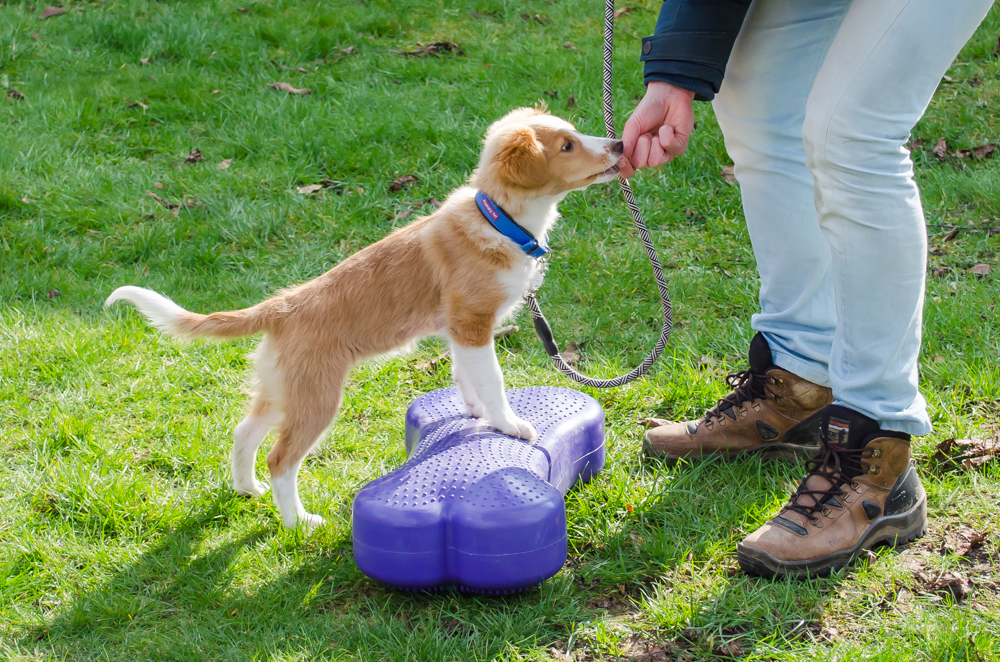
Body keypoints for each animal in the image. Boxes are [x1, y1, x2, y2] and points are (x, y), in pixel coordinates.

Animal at [109, 110, 624, 536]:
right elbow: (492, 378)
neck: (500, 220)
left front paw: (477, 414)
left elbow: (465, 377)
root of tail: (281, 306)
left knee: (244, 431)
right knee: (280, 458)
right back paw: (298, 522)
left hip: (284, 387)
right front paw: (509, 425)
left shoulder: (458, 330)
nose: (619, 144)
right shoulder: (472, 322)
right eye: (566, 146)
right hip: (317, 395)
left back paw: (247, 489)